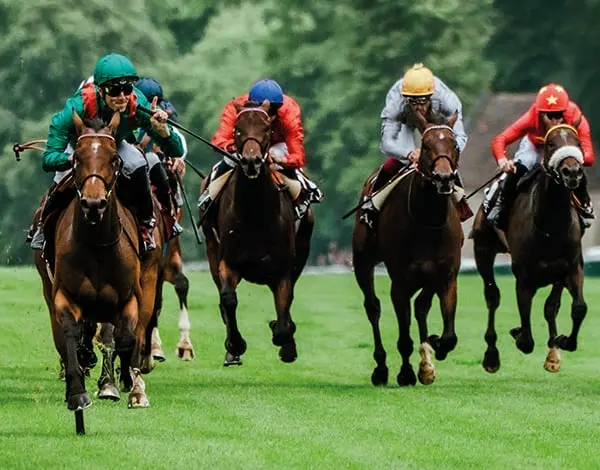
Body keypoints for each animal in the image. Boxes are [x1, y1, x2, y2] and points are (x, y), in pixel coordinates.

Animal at [34, 112, 162, 410]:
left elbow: (124, 337)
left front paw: (126, 386)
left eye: (114, 158)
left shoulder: (129, 295)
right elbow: (71, 334)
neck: (97, 246)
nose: (94, 204)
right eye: (76, 158)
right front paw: (77, 391)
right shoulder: (64, 294)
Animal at [200, 100, 314, 365]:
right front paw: (235, 345)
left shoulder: (283, 269)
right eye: (237, 129)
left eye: (267, 129)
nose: (251, 161)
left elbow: (284, 314)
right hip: (212, 250)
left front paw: (285, 341)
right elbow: (228, 299)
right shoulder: (228, 262)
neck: (255, 212)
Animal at [352, 112, 463, 387]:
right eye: (426, 146)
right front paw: (405, 373)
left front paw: (434, 348)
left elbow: (449, 335)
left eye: (454, 145)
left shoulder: (446, 276)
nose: (444, 178)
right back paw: (381, 368)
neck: (428, 223)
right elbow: (403, 337)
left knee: (421, 306)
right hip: (362, 261)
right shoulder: (400, 282)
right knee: (373, 307)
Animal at [471, 123, 587, 373]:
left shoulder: (570, 267)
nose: (572, 172)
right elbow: (526, 338)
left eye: (578, 142)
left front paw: (561, 343)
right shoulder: (524, 277)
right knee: (492, 296)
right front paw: (518, 332)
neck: (550, 225)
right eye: (551, 143)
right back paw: (491, 356)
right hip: (482, 248)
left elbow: (573, 307)